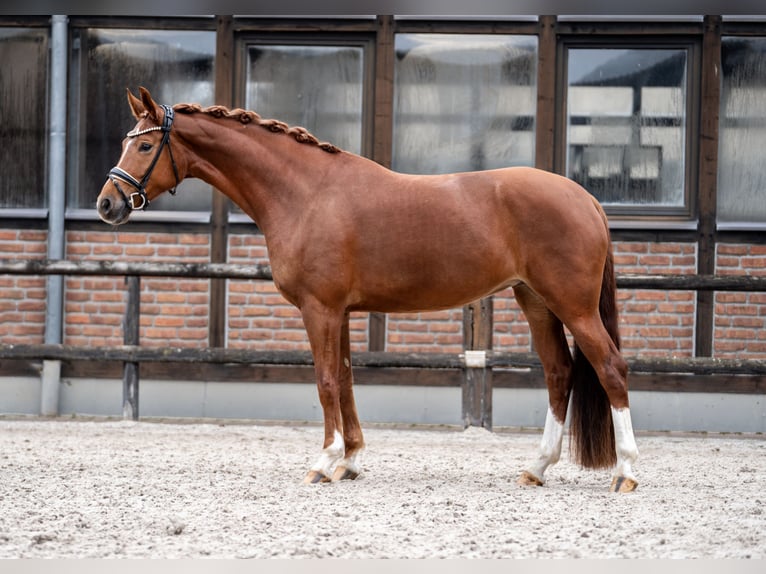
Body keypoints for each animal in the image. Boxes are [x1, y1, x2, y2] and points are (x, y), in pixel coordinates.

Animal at [97, 88, 640, 492]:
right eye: (125, 141)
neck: (306, 193)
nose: (107, 204)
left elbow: (325, 382)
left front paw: (324, 461)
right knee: (559, 373)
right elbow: (346, 380)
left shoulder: (319, 309)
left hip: (572, 305)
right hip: (536, 301)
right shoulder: (341, 312)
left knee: (610, 367)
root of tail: (585, 197)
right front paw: (351, 460)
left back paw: (626, 471)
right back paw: (537, 467)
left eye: (143, 146)